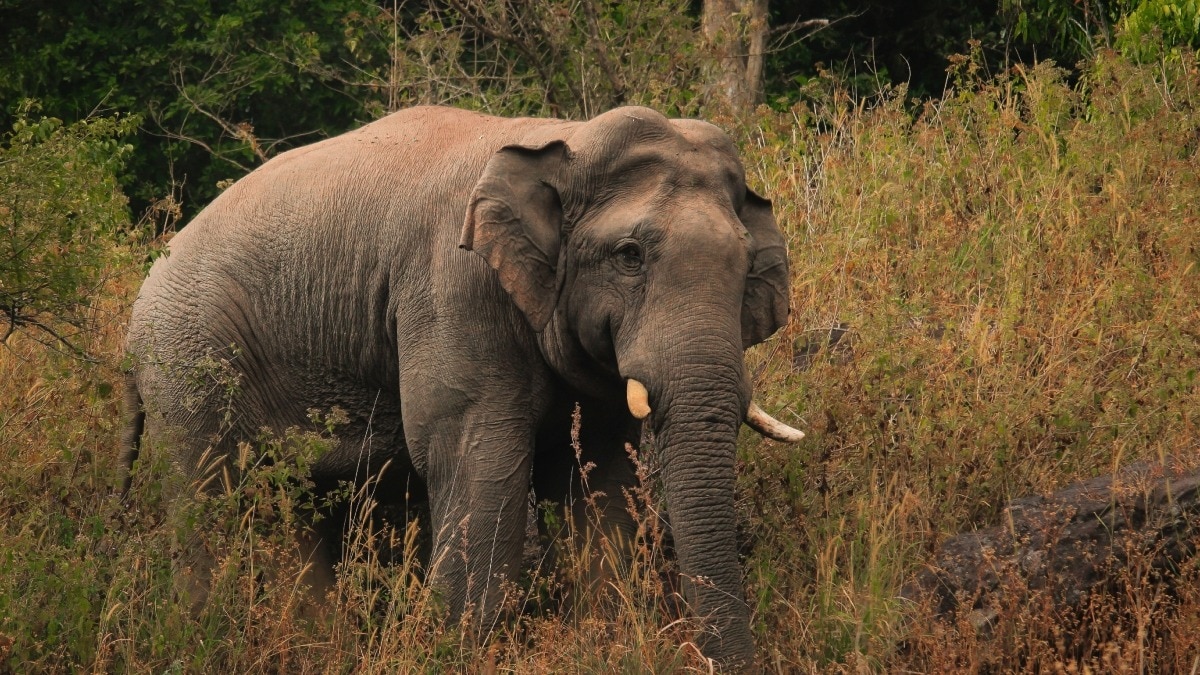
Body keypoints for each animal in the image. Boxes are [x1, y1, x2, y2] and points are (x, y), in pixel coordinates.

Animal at [120, 104, 804, 669]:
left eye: (746, 263)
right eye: (629, 255)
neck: (564, 139)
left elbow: (597, 476)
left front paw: (603, 647)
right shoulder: (455, 289)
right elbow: (478, 462)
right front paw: (455, 651)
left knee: (300, 508)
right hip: (188, 358)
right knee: (210, 499)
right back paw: (204, 641)